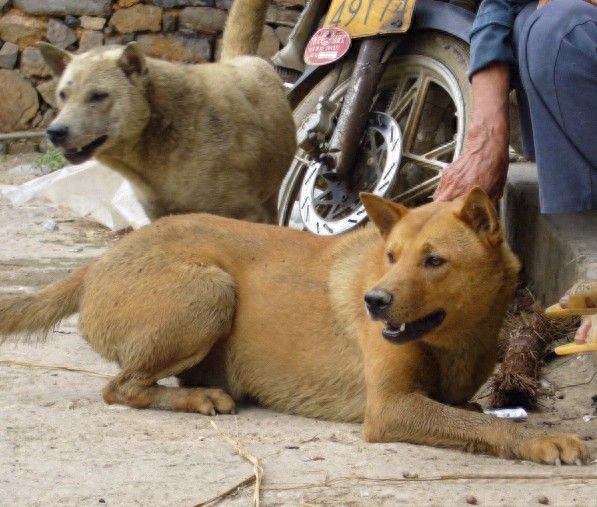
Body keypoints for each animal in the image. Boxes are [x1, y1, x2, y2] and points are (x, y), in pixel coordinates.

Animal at [0, 190, 588, 464]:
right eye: (391, 256)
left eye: (434, 261)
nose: (374, 301)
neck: (457, 338)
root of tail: (99, 261)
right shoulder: (390, 408)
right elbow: (493, 425)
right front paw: (542, 440)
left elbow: (471, 414)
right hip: (212, 292)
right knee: (119, 388)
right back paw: (200, 398)